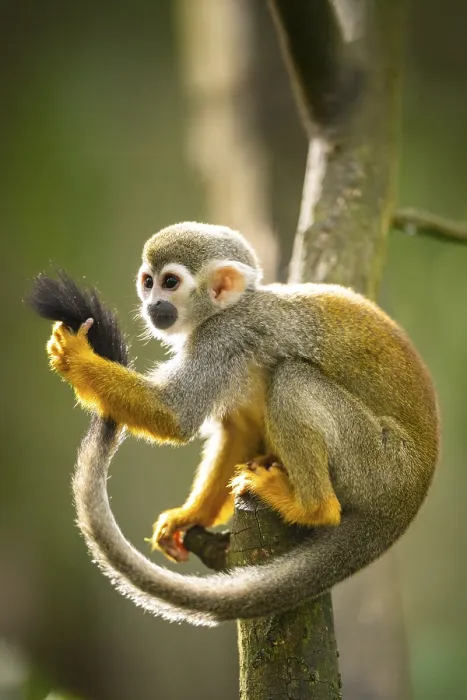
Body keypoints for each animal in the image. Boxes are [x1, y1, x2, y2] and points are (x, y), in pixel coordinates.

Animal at [28, 222, 440, 625]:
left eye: (170, 282)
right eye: (148, 281)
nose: (152, 304)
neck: (225, 309)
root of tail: (407, 502)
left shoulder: (221, 339)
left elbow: (175, 415)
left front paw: (78, 358)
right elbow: (239, 432)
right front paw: (190, 516)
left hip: (378, 463)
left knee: (292, 379)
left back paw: (312, 507)